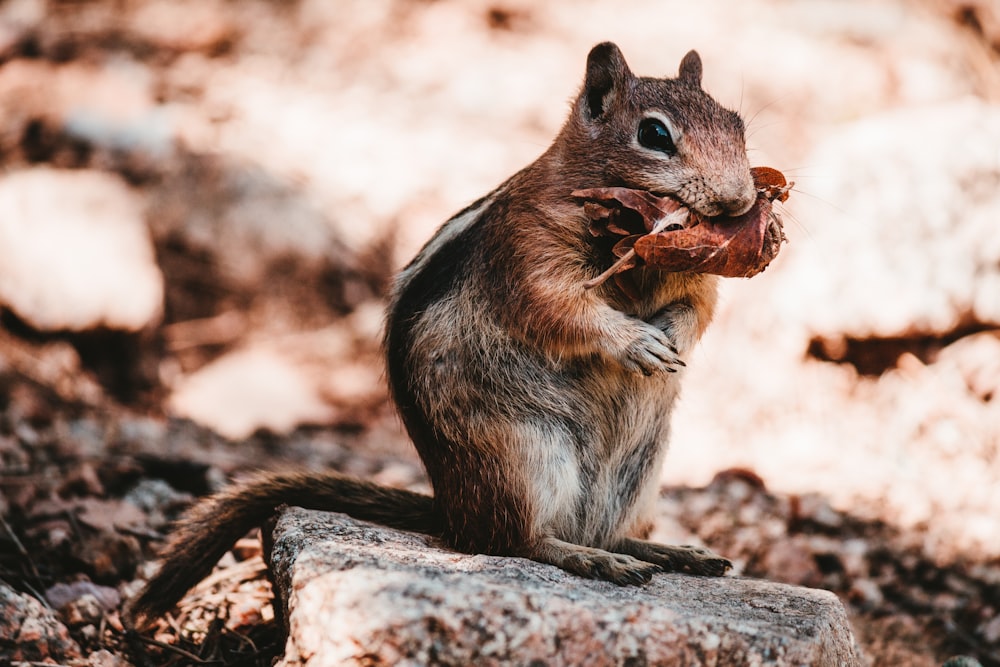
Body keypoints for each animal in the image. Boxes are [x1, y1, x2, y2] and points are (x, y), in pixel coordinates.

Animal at [129, 40, 760, 628]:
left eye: (737, 123)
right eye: (654, 134)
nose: (740, 199)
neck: (633, 240)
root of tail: (450, 510)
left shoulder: (696, 273)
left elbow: (699, 308)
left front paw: (672, 335)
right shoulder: (528, 252)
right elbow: (561, 309)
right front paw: (635, 341)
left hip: (642, 472)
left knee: (601, 531)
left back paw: (669, 552)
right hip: (523, 456)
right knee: (514, 541)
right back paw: (590, 559)